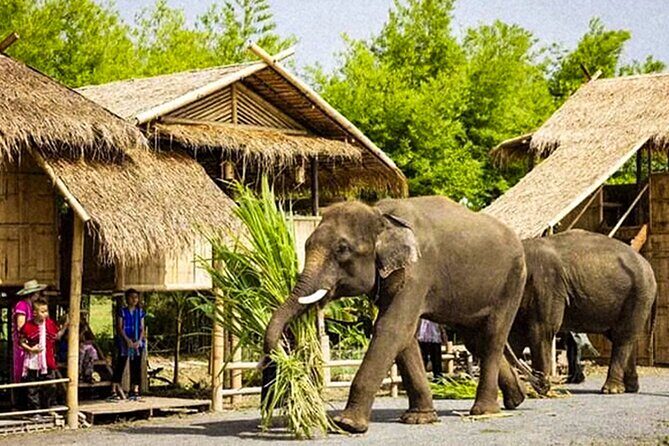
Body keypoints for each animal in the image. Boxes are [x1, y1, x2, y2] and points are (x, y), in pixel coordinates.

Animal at [262, 196, 528, 433]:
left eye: (342, 249)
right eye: (307, 245)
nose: (272, 405)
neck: (381, 215)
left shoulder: (417, 269)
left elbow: (392, 328)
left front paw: (347, 425)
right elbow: (404, 337)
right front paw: (419, 419)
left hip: (513, 281)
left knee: (492, 337)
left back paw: (485, 411)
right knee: (475, 341)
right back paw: (518, 399)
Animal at [508, 229, 657, 394]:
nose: (543, 384)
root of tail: (649, 266)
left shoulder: (547, 285)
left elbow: (542, 330)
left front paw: (541, 390)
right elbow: (515, 335)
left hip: (639, 296)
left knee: (623, 337)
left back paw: (611, 390)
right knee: (622, 337)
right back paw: (631, 388)